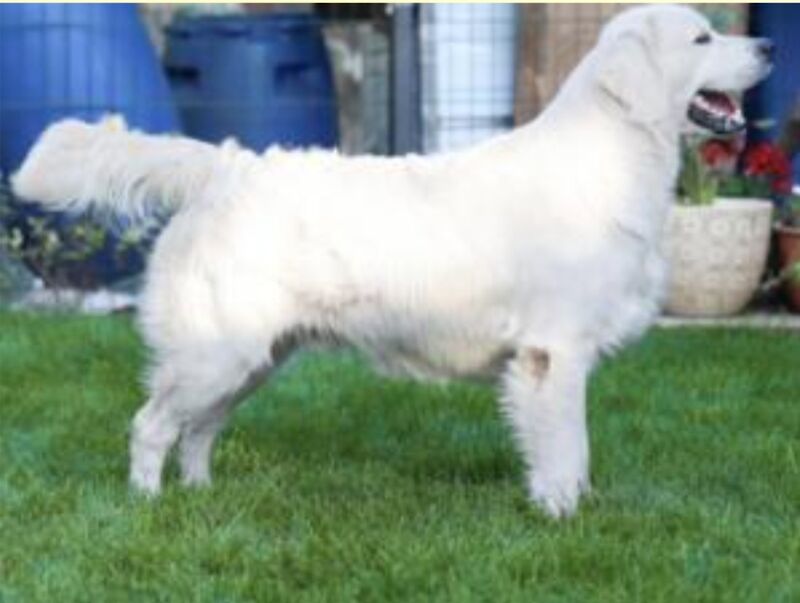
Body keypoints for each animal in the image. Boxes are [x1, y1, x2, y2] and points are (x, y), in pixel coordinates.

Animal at [12, 4, 772, 516]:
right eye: (702, 38)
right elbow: (564, 448)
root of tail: (227, 167)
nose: (767, 43)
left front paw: (577, 507)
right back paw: (148, 506)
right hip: (215, 351)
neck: (615, 156)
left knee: (197, 431)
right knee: (152, 425)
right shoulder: (551, 352)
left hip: (253, 355)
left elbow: (575, 450)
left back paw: (201, 496)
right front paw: (562, 517)